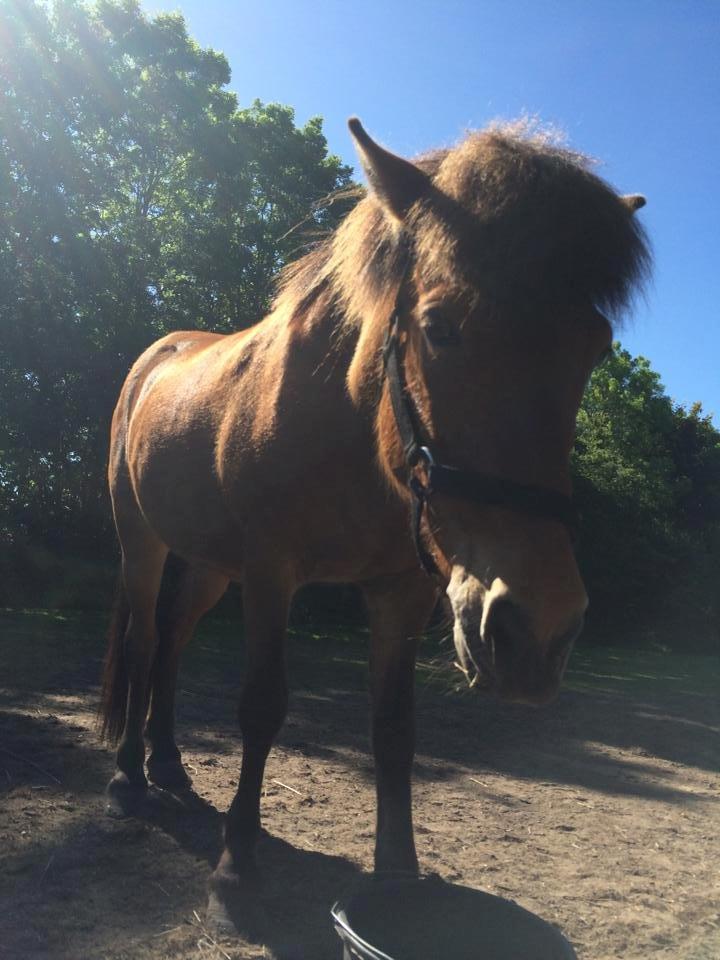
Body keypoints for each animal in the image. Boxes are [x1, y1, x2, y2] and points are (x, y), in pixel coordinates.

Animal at [100, 116, 648, 932]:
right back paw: (128, 776)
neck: (350, 431)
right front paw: (236, 873)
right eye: (440, 327)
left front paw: (399, 878)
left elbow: (394, 731)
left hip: (208, 566)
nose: (538, 630)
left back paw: (167, 761)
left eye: (596, 346)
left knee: (170, 643)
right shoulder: (271, 573)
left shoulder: (404, 591)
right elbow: (262, 707)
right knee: (141, 642)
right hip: (144, 544)